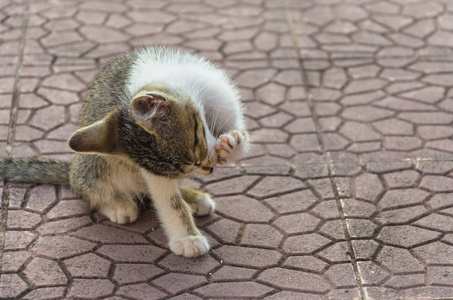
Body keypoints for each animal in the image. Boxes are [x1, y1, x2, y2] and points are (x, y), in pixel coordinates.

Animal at [0, 45, 249, 256]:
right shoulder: (153, 169)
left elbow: (242, 137)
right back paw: (118, 205)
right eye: (195, 149)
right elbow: (167, 197)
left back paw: (194, 197)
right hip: (94, 163)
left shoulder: (222, 99)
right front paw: (187, 238)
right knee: (86, 186)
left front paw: (231, 145)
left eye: (198, 142)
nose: (209, 168)